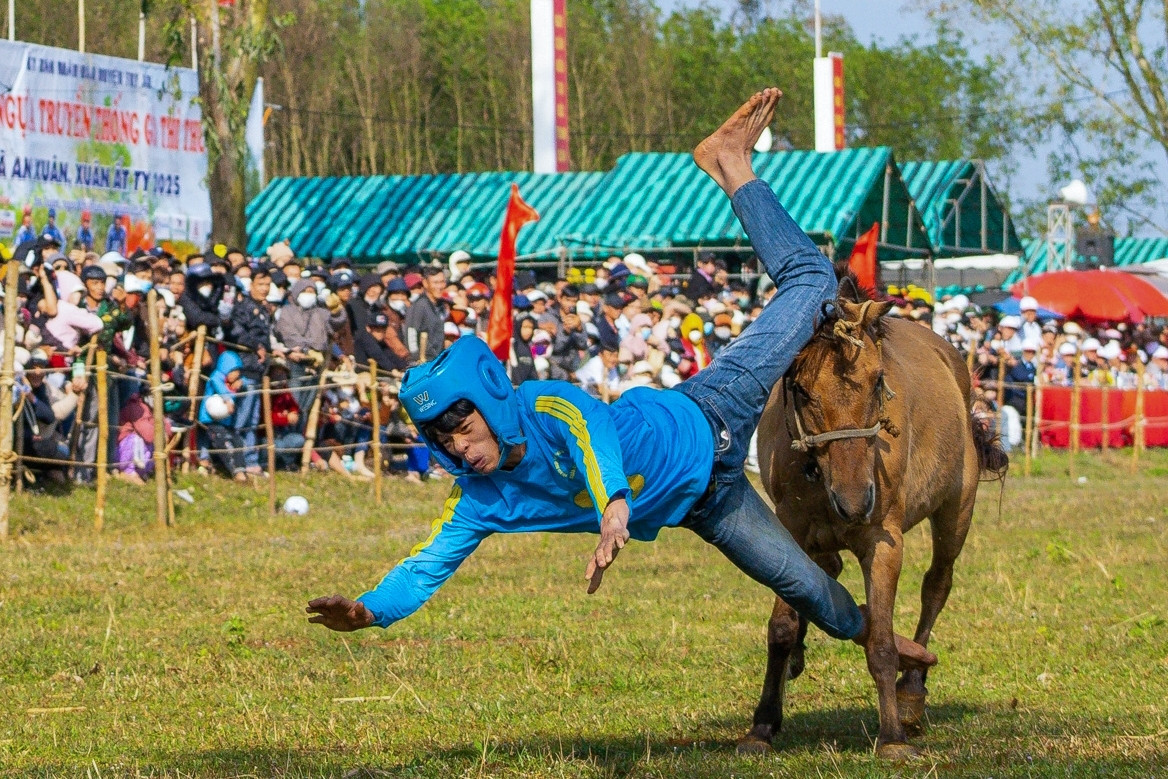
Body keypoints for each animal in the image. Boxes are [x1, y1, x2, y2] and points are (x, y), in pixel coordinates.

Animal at [738, 280, 1004, 761]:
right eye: (801, 390)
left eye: (878, 381)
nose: (854, 501)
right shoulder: (791, 531)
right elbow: (782, 628)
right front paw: (763, 724)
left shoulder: (883, 542)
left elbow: (881, 638)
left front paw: (893, 735)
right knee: (827, 571)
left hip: (956, 511)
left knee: (936, 585)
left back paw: (912, 694)